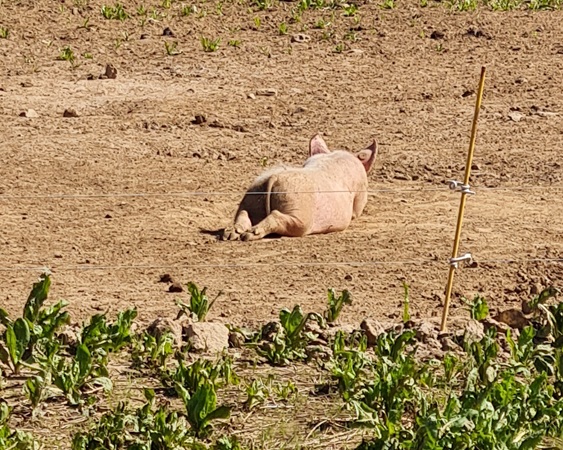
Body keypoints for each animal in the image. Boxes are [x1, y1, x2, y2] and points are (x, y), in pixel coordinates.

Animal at [221, 134, 377, 241]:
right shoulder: (360, 193)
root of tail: (275, 177)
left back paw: (231, 235)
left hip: (253, 195)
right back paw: (247, 236)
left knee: (243, 213)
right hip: (299, 209)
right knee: (279, 217)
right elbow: (357, 211)